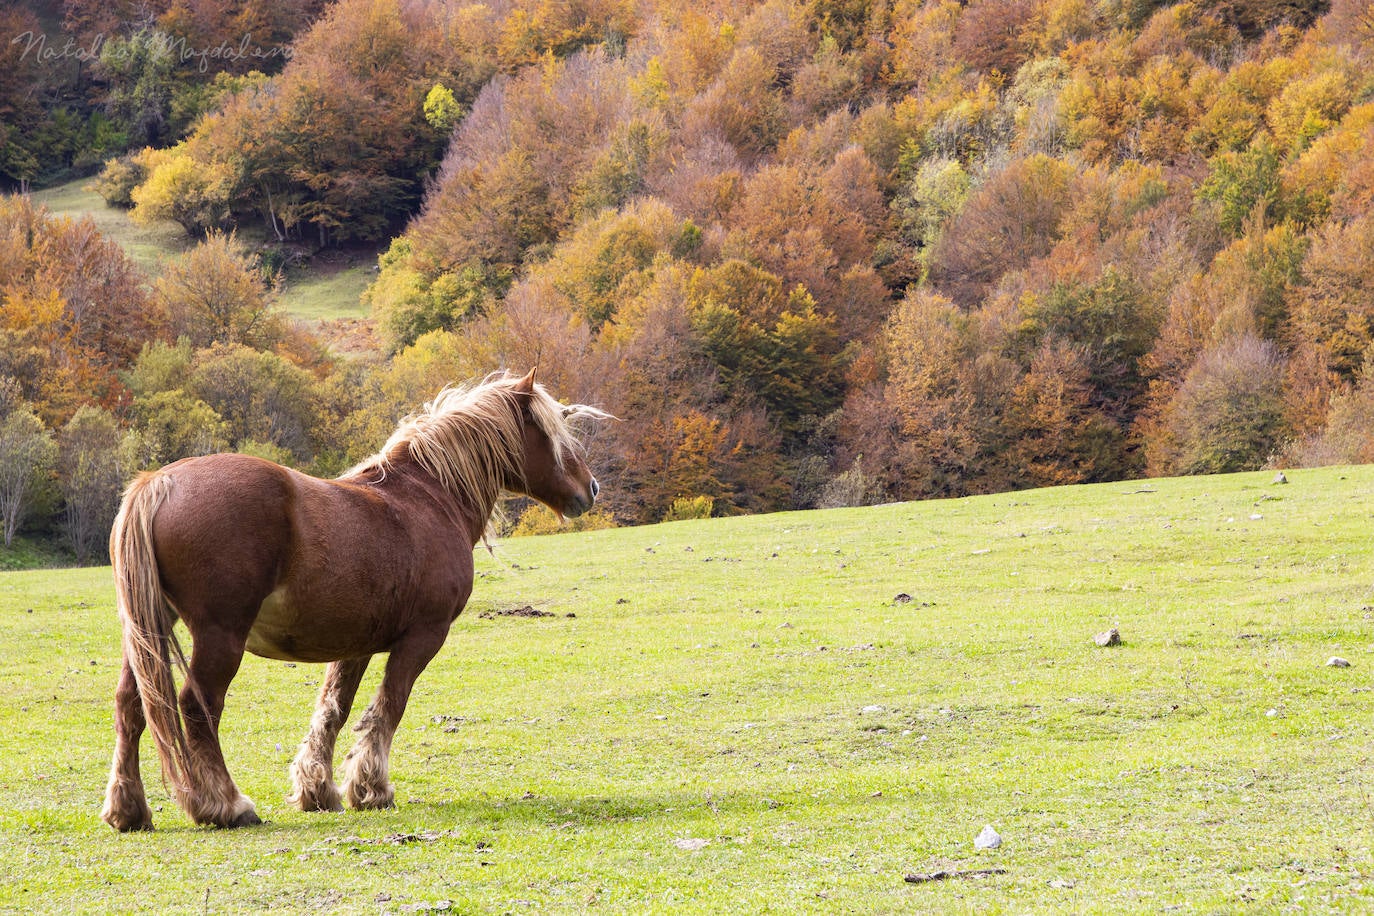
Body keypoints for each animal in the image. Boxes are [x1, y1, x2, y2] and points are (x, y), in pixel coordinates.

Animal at [101, 368, 607, 829]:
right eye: (554, 434)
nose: (591, 489)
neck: (429, 497)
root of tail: (158, 482)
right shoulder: (422, 637)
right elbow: (389, 706)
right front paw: (371, 789)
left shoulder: (354, 645)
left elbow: (333, 710)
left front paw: (317, 789)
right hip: (219, 636)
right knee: (196, 705)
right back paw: (226, 804)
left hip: (148, 629)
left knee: (131, 705)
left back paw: (128, 810)